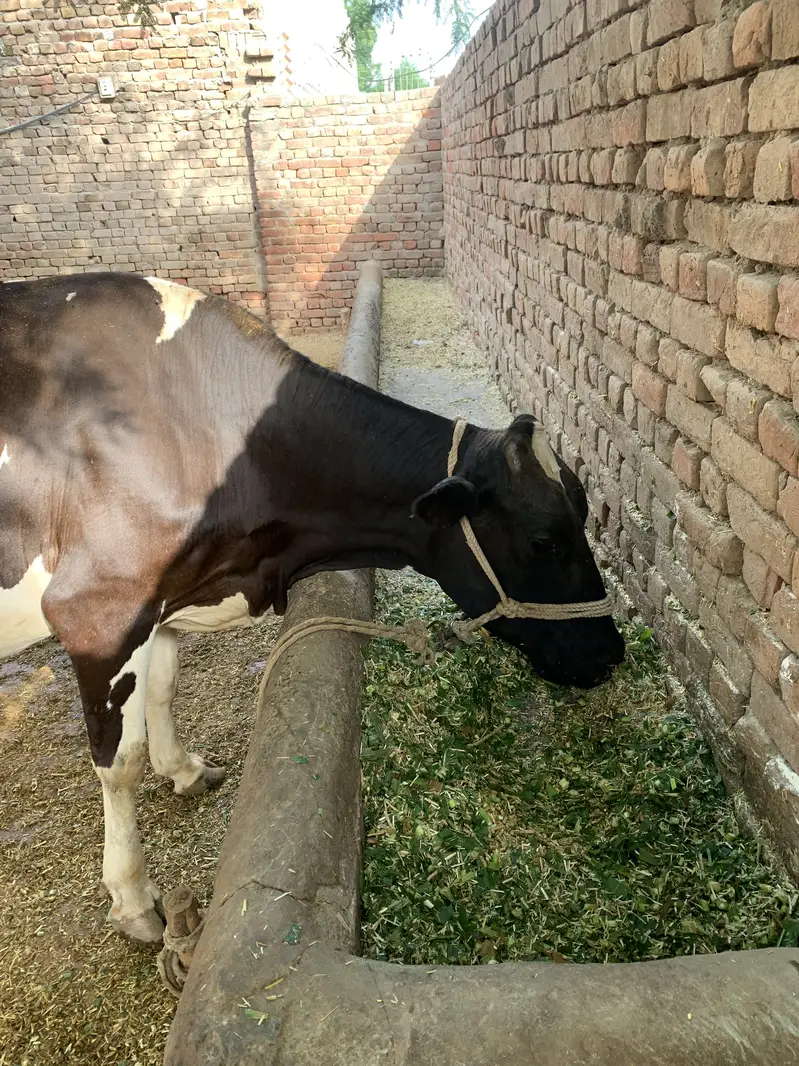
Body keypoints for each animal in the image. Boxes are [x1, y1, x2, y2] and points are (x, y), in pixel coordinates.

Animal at [0, 272, 624, 943]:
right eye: (545, 540)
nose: (613, 652)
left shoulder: (171, 592)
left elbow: (165, 687)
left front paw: (185, 770)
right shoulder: (100, 607)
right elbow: (121, 762)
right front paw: (135, 898)